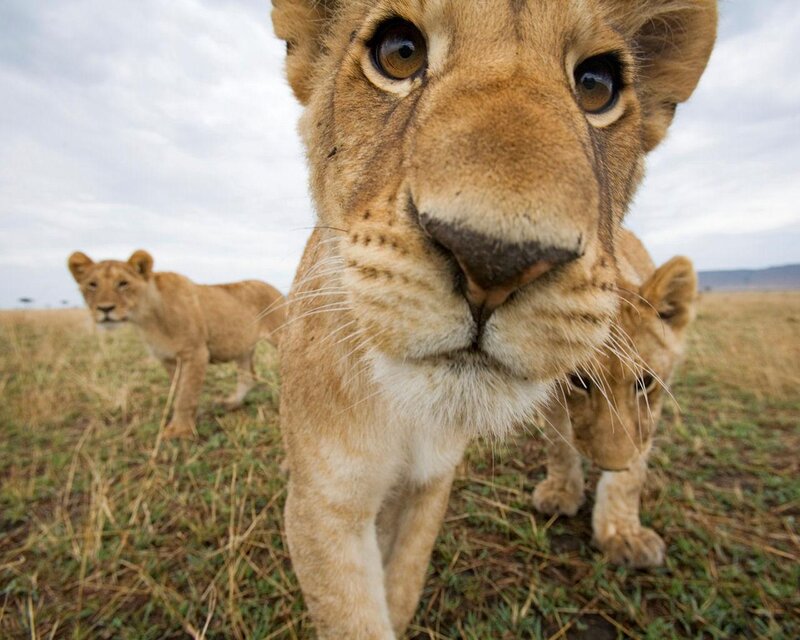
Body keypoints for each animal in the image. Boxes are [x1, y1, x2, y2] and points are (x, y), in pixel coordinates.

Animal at [68, 250, 286, 439]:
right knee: (248, 376)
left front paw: (179, 430)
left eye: (123, 283)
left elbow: (186, 395)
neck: (147, 317)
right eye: (92, 284)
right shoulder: (168, 358)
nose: (105, 309)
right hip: (243, 347)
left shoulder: (196, 353)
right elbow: (179, 390)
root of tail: (272, 286)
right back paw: (232, 403)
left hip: (279, 333)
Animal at [533, 230, 697, 568]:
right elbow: (559, 442)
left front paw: (622, 535)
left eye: (644, 382)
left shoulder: (650, 411)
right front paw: (561, 493)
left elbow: (631, 474)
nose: (612, 464)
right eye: (579, 381)